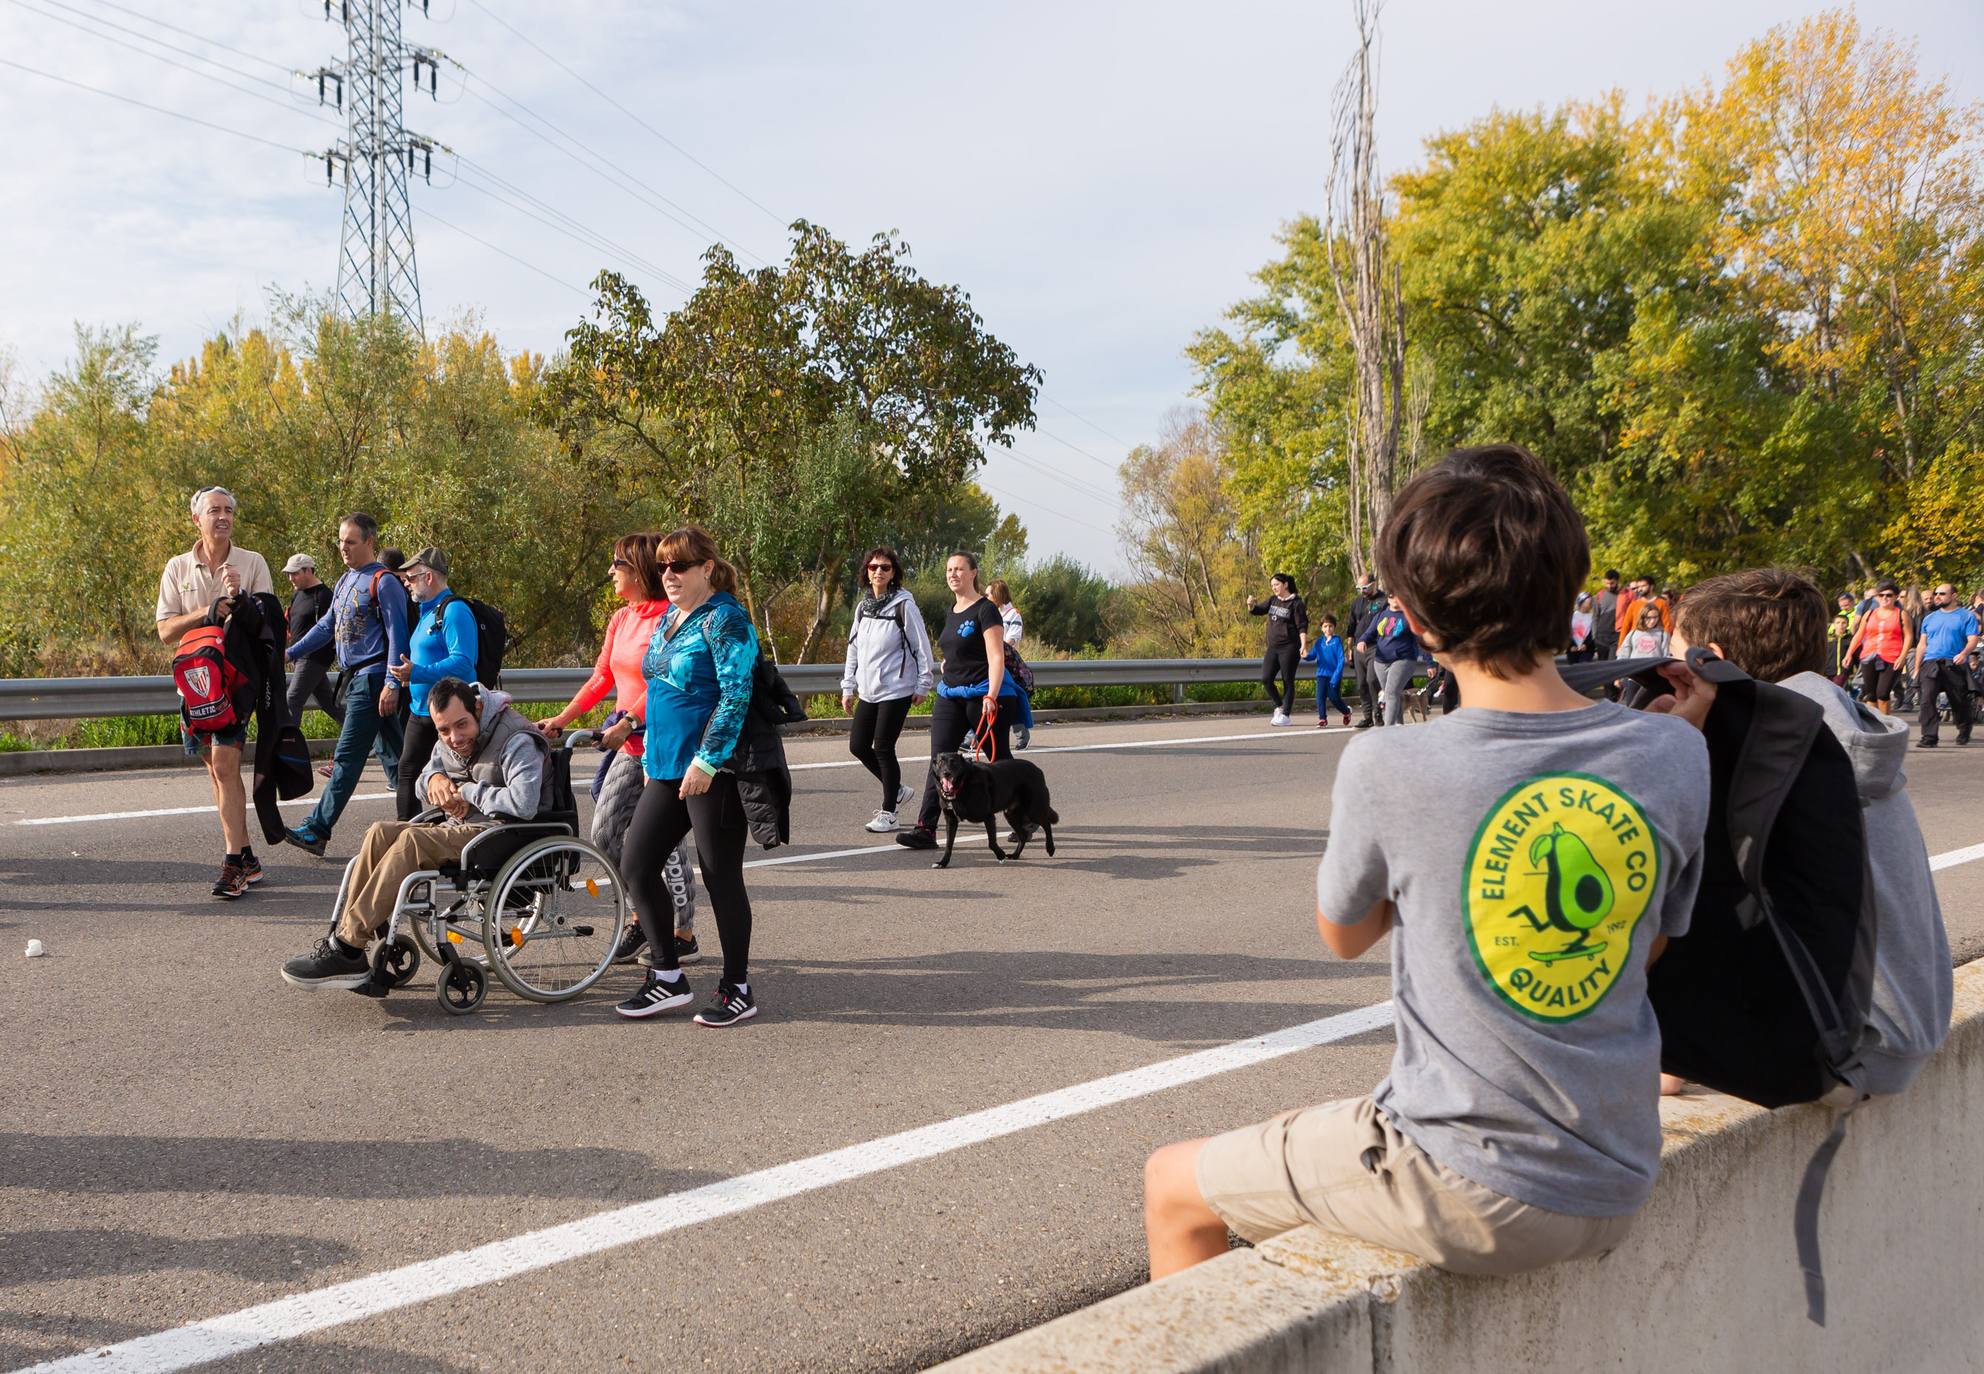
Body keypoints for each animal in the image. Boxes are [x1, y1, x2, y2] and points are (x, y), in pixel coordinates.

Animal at [924, 749, 1055, 868]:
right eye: (940, 762)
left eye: (954, 762)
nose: (947, 773)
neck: (963, 784)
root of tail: (1037, 769)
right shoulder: (951, 820)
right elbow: (949, 845)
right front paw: (943, 862)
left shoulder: (988, 817)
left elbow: (991, 842)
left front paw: (1000, 855)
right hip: (1010, 814)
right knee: (1022, 836)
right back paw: (1015, 855)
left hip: (1033, 810)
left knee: (1046, 824)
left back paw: (1050, 848)